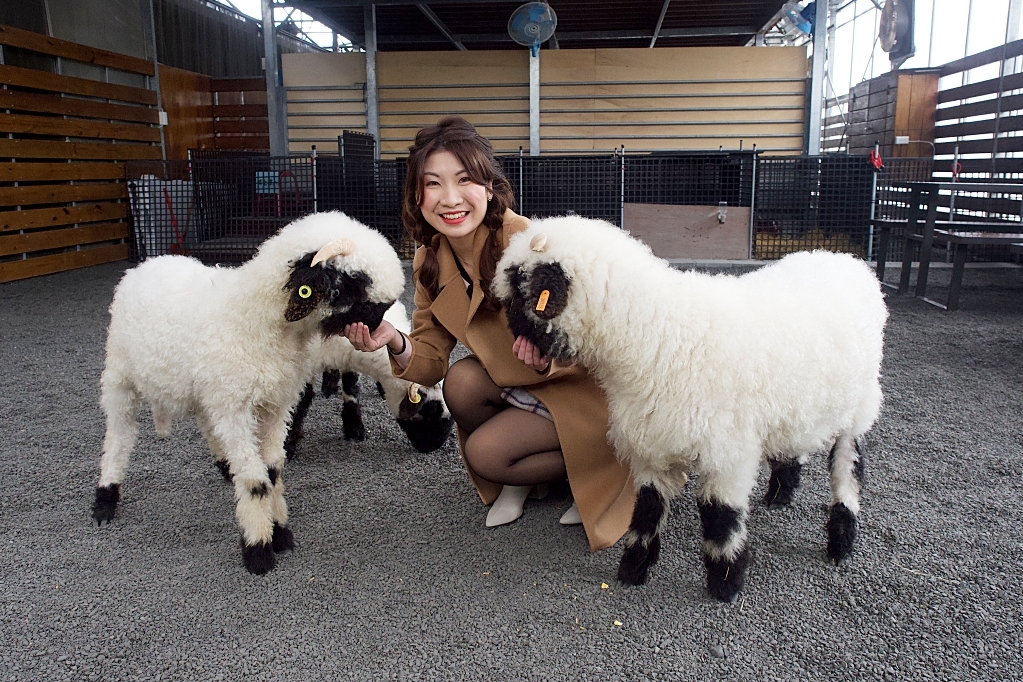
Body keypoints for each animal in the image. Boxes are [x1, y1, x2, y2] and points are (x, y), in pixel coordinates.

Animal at [91, 210, 403, 572]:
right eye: (354, 280)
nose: (380, 325)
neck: (255, 319)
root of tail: (147, 263)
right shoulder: (236, 409)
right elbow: (255, 481)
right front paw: (258, 550)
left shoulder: (274, 405)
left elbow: (272, 471)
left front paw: (280, 532)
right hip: (120, 375)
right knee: (119, 436)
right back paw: (105, 499)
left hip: (205, 391)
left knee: (205, 422)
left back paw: (225, 467)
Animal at [493, 217, 887, 601]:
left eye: (520, 295)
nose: (514, 342)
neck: (658, 336)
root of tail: (846, 261)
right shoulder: (652, 446)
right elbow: (647, 510)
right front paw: (632, 570)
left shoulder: (728, 452)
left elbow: (720, 518)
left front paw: (725, 583)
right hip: (797, 408)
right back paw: (780, 496)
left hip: (860, 406)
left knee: (848, 469)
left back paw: (841, 541)